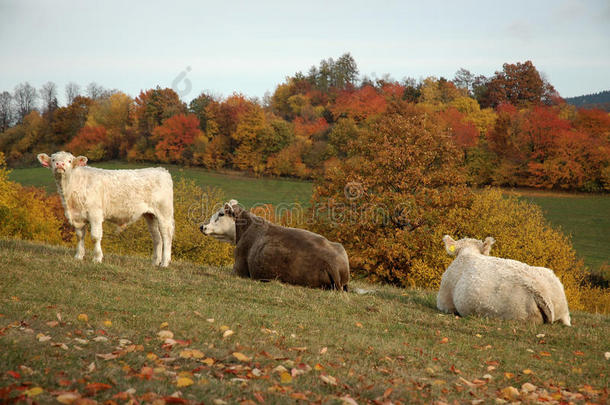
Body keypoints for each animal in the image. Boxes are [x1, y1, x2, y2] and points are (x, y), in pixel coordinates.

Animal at [37, 151, 173, 266]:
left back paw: (164, 263)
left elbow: (95, 236)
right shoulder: (78, 216)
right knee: (157, 237)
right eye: (53, 159)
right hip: (150, 215)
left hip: (164, 213)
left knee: (166, 235)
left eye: (69, 161)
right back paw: (155, 262)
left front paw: (97, 258)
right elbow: (80, 236)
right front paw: (78, 256)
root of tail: (161, 170)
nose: (60, 164)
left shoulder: (95, 214)